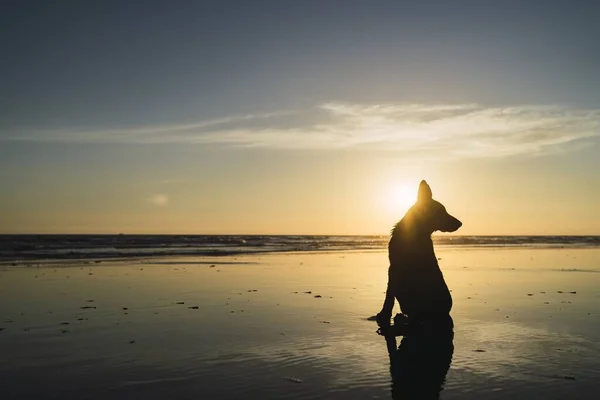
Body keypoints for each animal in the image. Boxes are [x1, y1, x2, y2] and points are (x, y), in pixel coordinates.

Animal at [378, 181, 462, 328]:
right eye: (442, 212)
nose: (460, 223)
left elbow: (390, 295)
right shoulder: (393, 268)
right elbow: (389, 295)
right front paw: (384, 314)